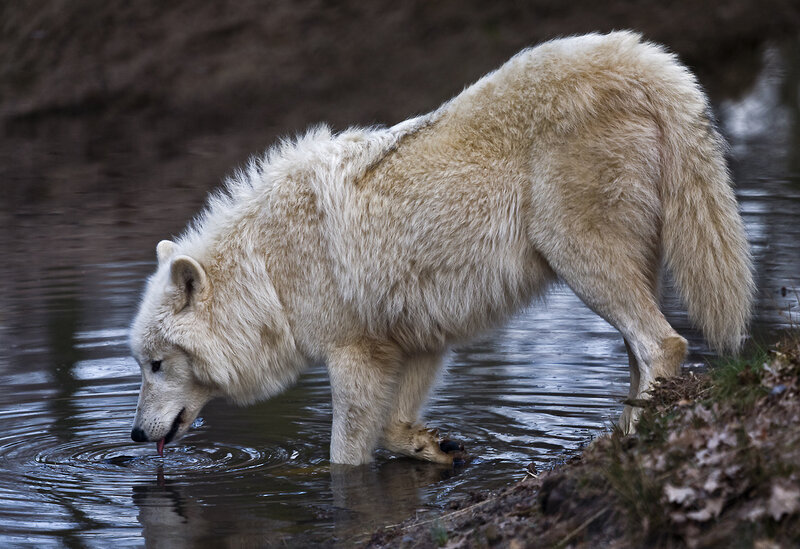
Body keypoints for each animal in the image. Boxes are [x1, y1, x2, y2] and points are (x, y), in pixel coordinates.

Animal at [129, 31, 753, 465]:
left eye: (157, 364)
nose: (134, 434)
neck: (269, 270)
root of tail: (641, 58)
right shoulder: (418, 342)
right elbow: (391, 427)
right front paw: (431, 447)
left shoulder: (353, 353)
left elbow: (344, 456)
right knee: (640, 352)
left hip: (581, 261)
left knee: (664, 344)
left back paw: (632, 438)